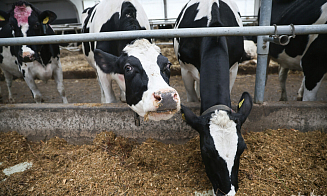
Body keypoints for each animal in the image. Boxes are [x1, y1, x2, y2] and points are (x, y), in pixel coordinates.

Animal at [176, 0, 252, 195]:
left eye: (242, 148)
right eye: (207, 152)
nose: (228, 191)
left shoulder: (233, 68)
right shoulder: (185, 69)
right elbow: (193, 99)